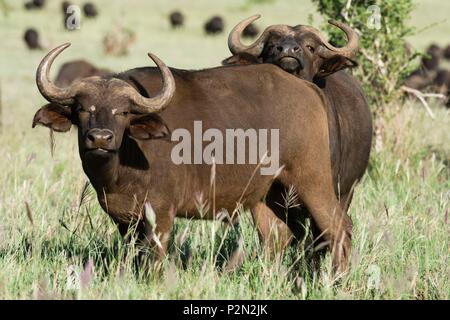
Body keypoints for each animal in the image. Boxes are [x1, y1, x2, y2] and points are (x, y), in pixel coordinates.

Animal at [33, 43, 354, 272]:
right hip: (266, 194)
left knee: (339, 228)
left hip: (312, 181)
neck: (121, 170)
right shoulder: (124, 219)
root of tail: (309, 88)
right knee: (276, 236)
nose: (100, 138)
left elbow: (155, 258)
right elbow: (134, 255)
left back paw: (337, 280)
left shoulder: (161, 214)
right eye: (82, 109)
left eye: (123, 111)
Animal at [222, 15, 372, 255]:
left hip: (346, 192)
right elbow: (274, 236)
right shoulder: (267, 196)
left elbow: (320, 235)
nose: (287, 50)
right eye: (272, 45)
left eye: (310, 47)